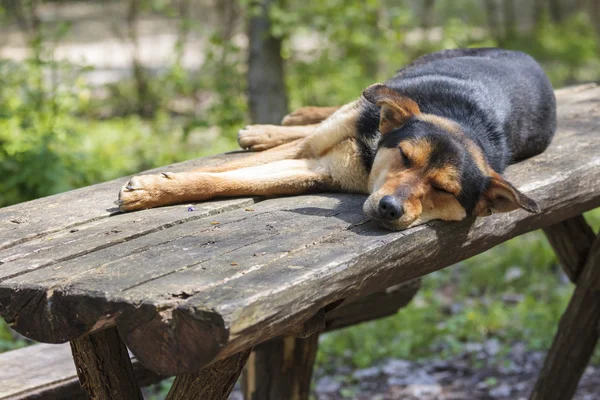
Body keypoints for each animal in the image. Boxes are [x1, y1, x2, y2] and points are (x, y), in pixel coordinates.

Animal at [117, 49, 556, 231]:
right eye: (405, 157)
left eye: (444, 190)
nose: (390, 209)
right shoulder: (312, 149)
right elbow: (223, 170)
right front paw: (154, 187)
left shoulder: (319, 170)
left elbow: (233, 181)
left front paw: (156, 189)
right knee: (340, 110)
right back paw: (274, 126)